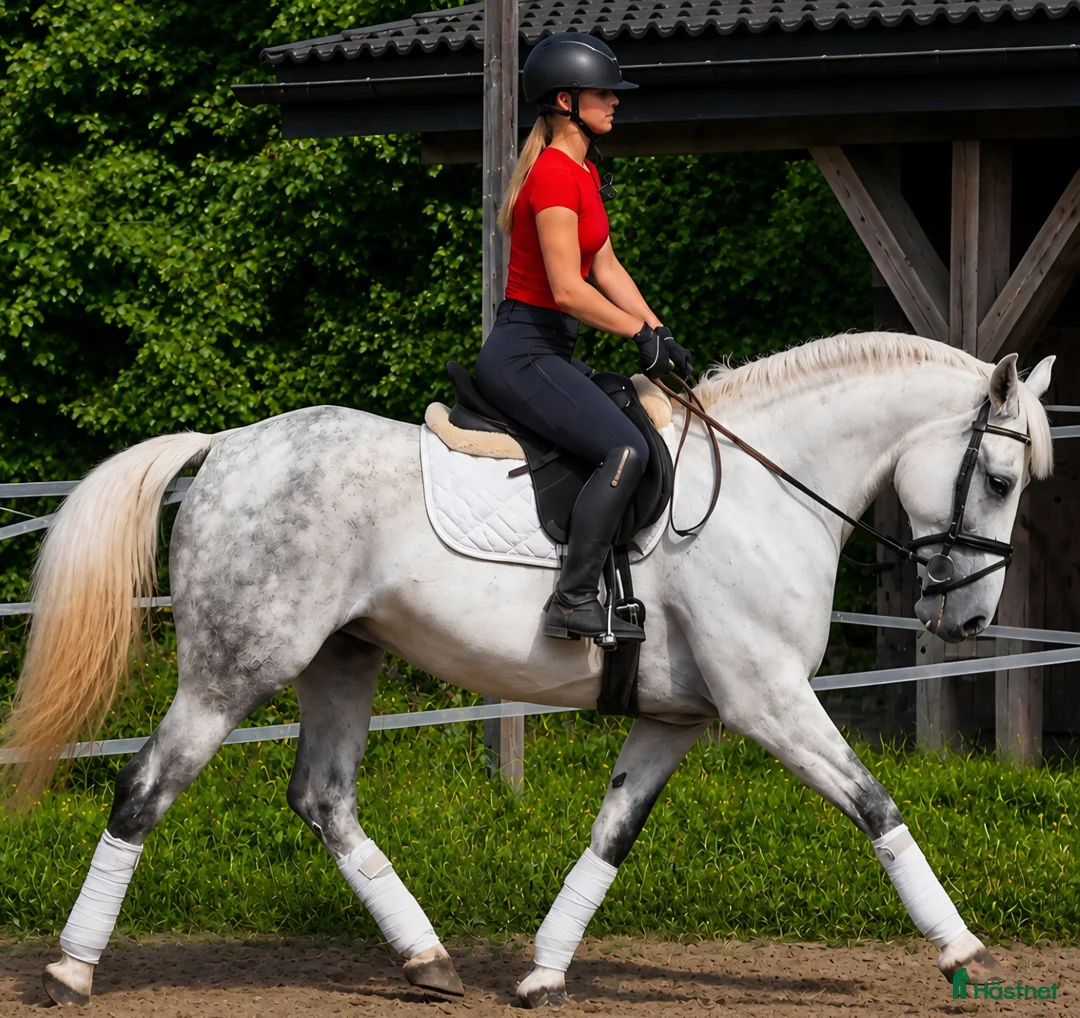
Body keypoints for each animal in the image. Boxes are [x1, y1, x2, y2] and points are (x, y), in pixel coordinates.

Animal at [2, 331, 1054, 1008]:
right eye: (1001, 480)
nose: (967, 619)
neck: (767, 489)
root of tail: (227, 446)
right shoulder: (769, 701)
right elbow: (876, 806)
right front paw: (962, 953)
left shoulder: (673, 717)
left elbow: (611, 838)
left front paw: (545, 970)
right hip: (233, 669)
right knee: (147, 787)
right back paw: (71, 968)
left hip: (342, 659)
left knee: (324, 799)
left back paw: (427, 960)